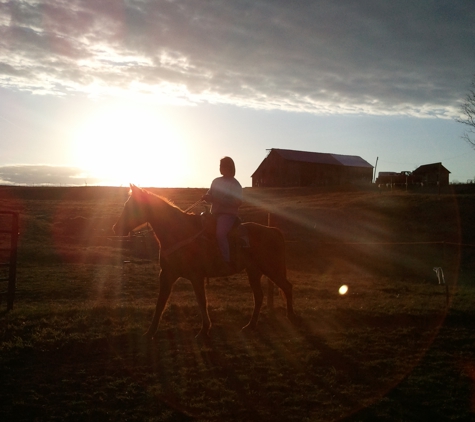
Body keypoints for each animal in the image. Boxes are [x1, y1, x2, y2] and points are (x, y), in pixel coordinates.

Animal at [112, 185, 298, 340]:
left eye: (131, 206)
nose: (116, 228)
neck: (179, 233)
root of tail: (273, 231)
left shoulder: (196, 276)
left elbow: (202, 301)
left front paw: (204, 330)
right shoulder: (167, 275)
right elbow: (160, 304)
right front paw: (150, 332)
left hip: (271, 269)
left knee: (287, 287)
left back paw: (290, 317)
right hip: (254, 271)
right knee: (259, 296)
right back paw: (250, 325)